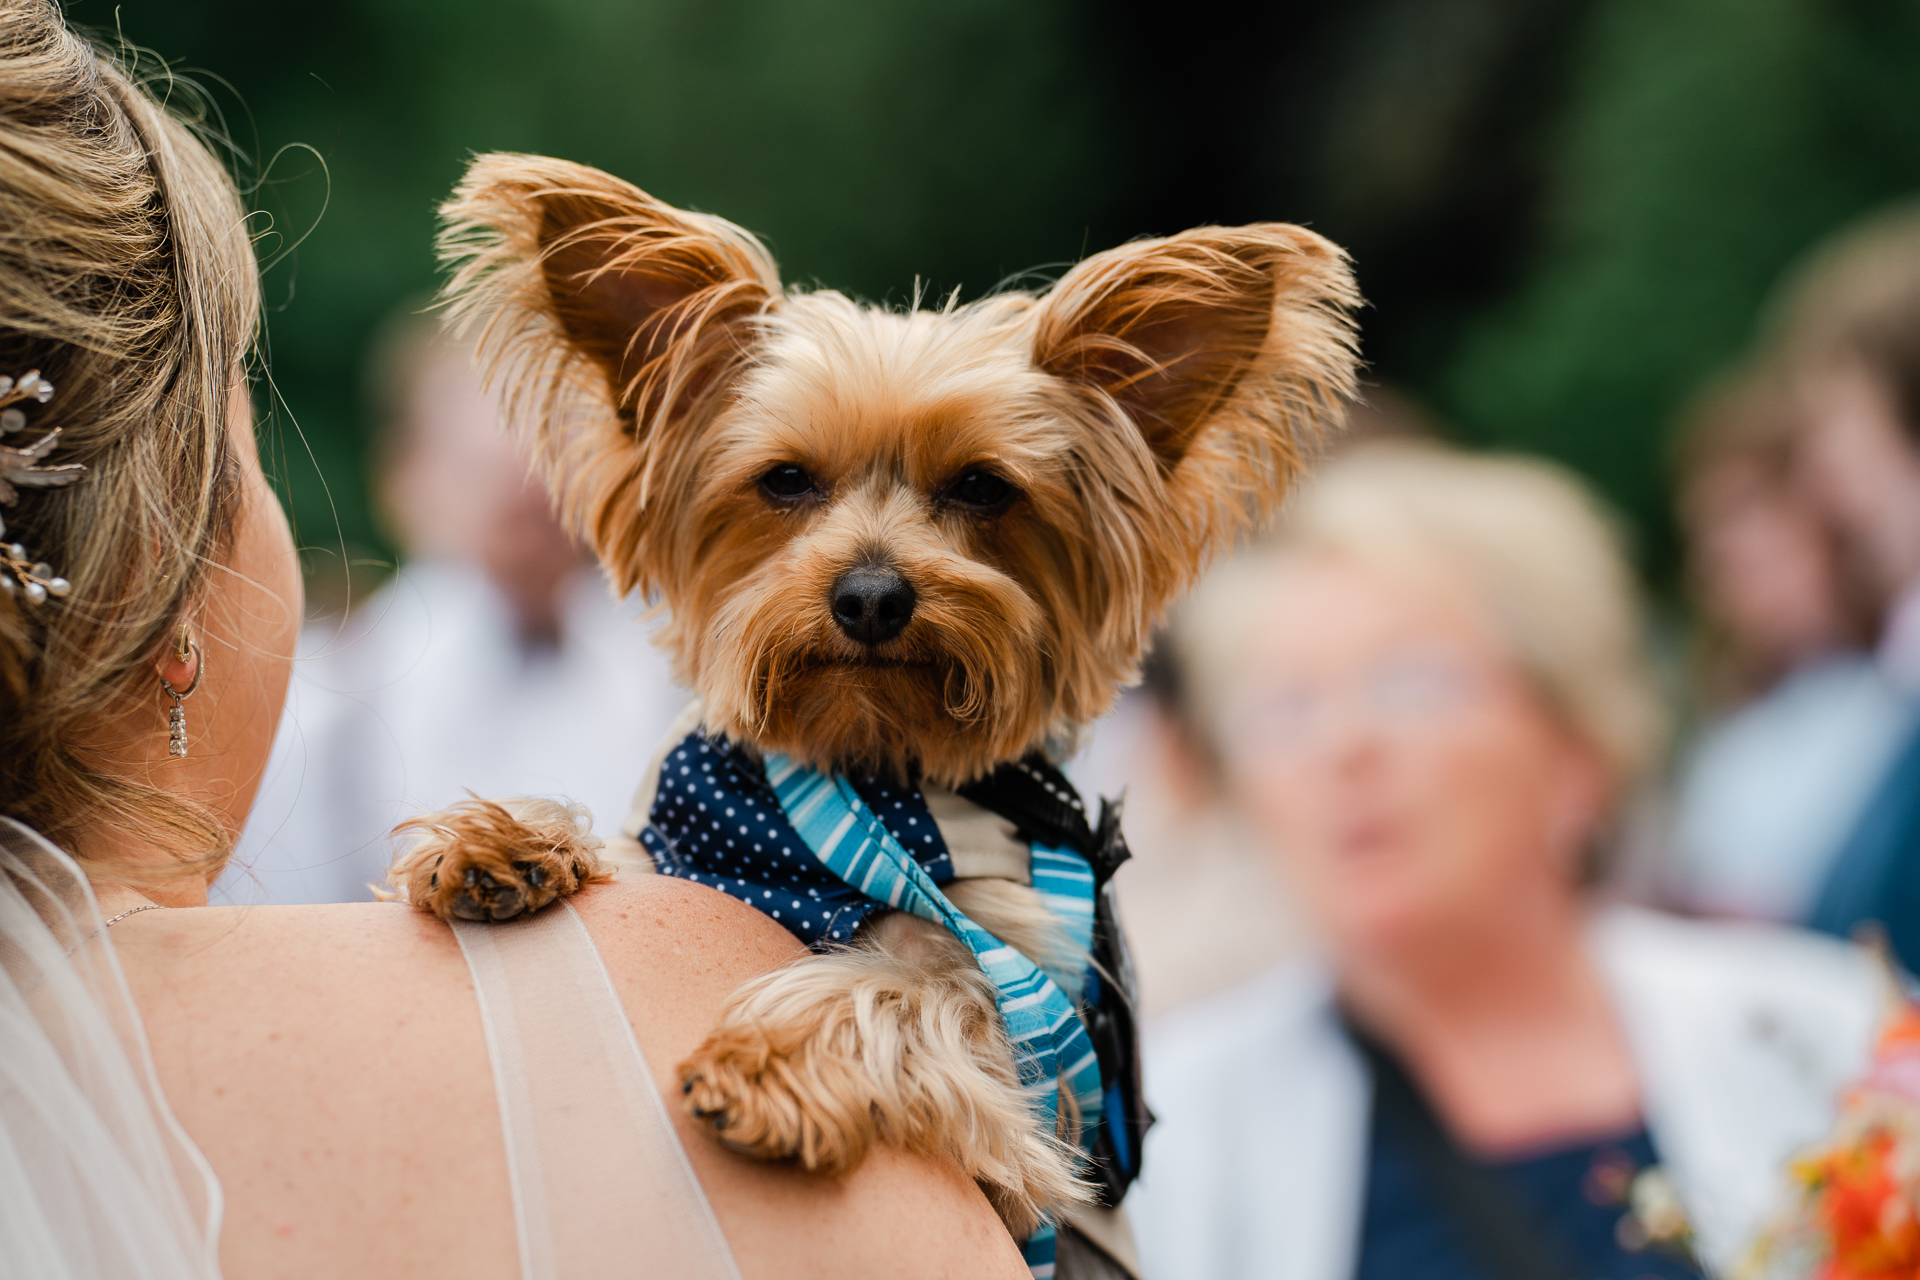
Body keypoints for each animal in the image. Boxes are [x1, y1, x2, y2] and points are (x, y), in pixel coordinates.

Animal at [385, 152, 1351, 1274]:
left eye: (983, 488)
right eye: (785, 479)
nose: (873, 595)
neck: (864, 771)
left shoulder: (1029, 1016)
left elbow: (912, 987)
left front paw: (765, 1060)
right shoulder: (692, 843)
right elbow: (620, 851)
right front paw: (508, 838)